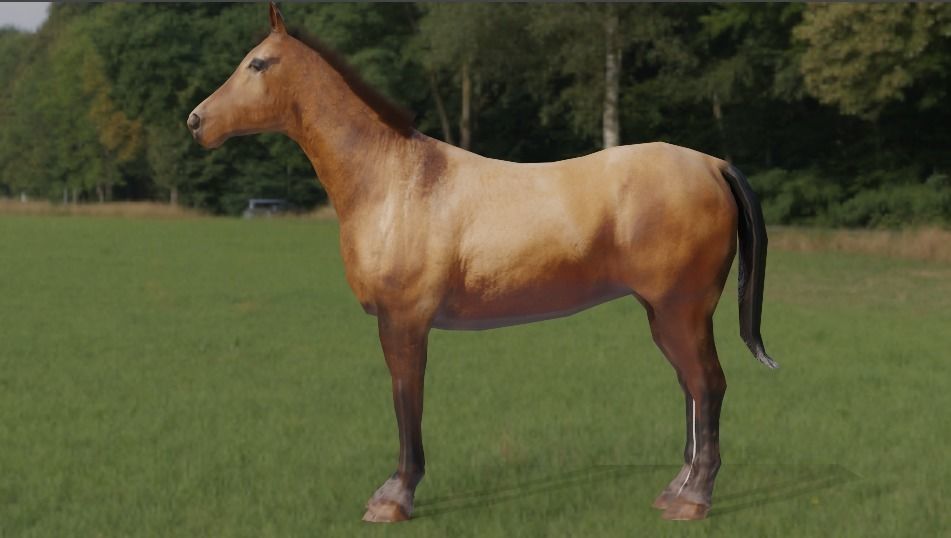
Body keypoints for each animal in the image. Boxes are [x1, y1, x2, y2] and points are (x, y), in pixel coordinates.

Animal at [187, 3, 776, 523]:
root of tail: (712, 164)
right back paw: (675, 489)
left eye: (258, 63)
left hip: (682, 311)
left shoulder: (403, 323)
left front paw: (394, 497)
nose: (196, 121)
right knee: (691, 389)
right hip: (664, 315)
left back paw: (693, 500)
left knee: (708, 385)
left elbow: (406, 401)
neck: (393, 179)